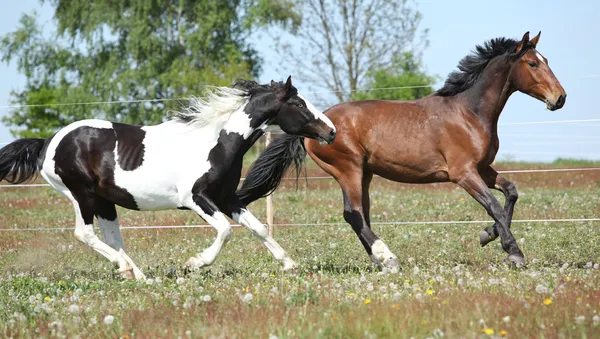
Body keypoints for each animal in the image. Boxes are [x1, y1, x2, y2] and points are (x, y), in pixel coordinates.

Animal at [0, 77, 338, 282]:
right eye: (298, 104)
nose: (331, 131)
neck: (216, 142)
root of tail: (48, 142)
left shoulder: (227, 198)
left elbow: (258, 228)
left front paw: (289, 264)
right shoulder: (196, 199)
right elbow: (226, 231)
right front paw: (194, 263)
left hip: (105, 201)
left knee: (112, 238)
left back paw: (140, 277)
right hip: (82, 195)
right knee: (85, 234)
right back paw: (125, 269)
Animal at [236, 32, 568, 270]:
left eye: (546, 59)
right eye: (533, 63)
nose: (560, 98)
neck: (468, 113)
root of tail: (319, 125)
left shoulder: (483, 169)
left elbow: (511, 192)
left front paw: (488, 236)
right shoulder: (463, 174)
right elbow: (495, 206)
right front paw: (514, 253)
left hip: (364, 175)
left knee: (361, 215)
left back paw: (379, 259)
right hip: (348, 169)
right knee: (352, 214)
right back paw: (389, 259)